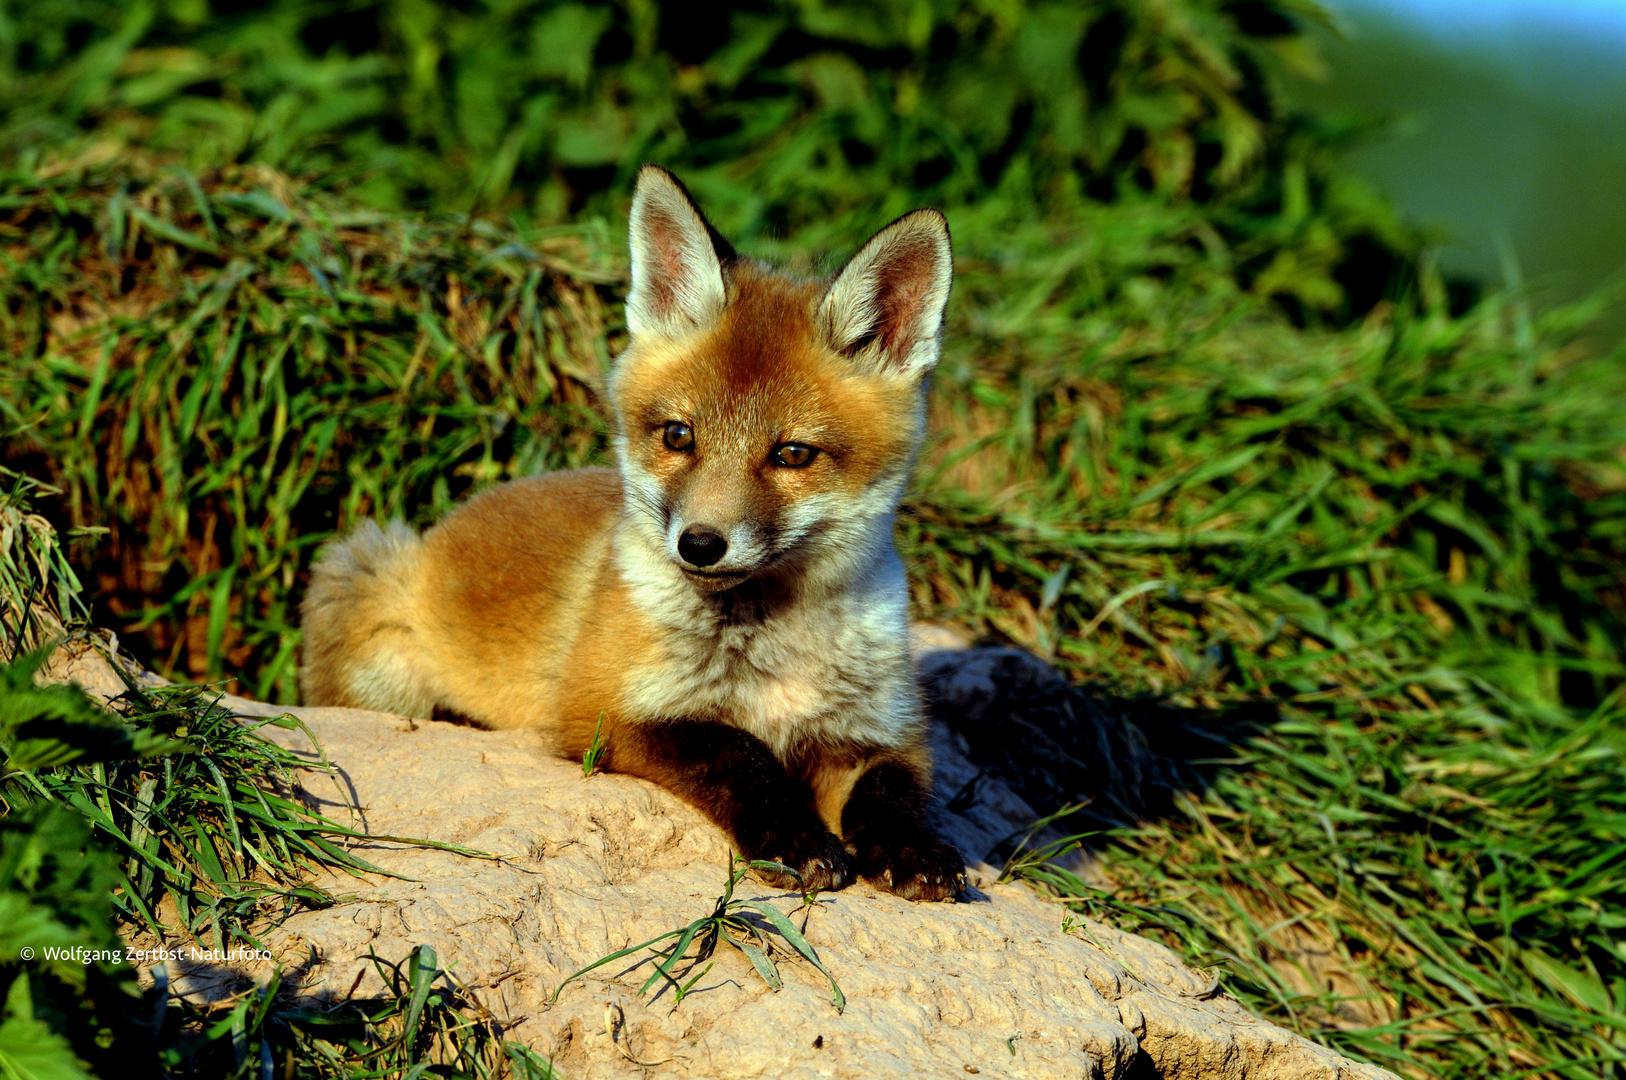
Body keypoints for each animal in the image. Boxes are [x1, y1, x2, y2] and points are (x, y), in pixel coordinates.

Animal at [302, 164, 962, 897]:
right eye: (678, 436)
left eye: (792, 454)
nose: (699, 544)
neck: (773, 654)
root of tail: (456, 516)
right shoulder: (603, 714)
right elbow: (736, 751)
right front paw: (794, 838)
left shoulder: (883, 730)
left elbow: (896, 790)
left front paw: (913, 851)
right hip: (371, 609)